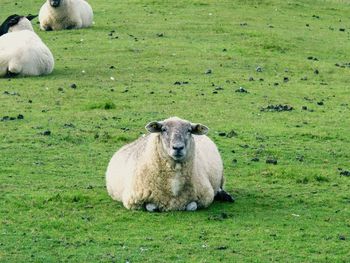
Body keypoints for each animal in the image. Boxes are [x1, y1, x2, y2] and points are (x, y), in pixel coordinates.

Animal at [105, 117, 234, 212]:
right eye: (163, 129)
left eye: (189, 130)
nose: (178, 147)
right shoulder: (134, 200)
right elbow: (151, 207)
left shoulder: (205, 197)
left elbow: (191, 206)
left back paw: (226, 196)